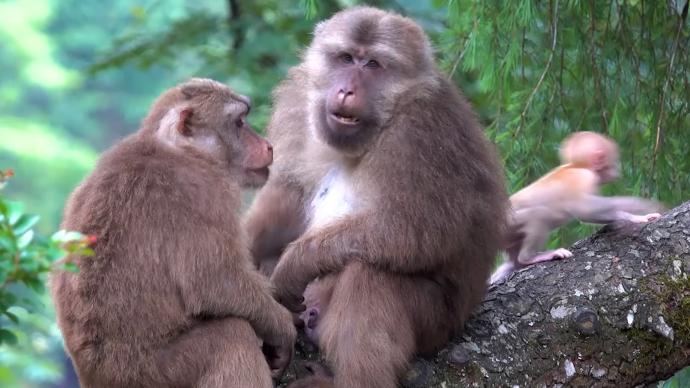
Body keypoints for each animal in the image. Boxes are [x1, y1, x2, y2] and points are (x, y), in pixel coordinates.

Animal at [49, 79, 294, 388]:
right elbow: (215, 284)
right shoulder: (204, 191)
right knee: (231, 334)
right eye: (239, 122)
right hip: (154, 373)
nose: (268, 146)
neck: (176, 148)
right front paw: (283, 328)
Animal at [245, 6, 508, 388]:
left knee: (370, 274)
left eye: (372, 64)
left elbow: (414, 232)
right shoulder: (298, 105)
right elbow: (289, 193)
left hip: (438, 322)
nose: (346, 90)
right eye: (345, 58)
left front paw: (294, 266)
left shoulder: (418, 135)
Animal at [490, 132, 660, 284]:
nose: (618, 170)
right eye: (614, 160)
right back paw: (531, 257)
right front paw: (637, 212)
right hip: (505, 225)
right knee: (538, 215)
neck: (576, 166)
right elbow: (586, 211)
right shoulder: (586, 179)